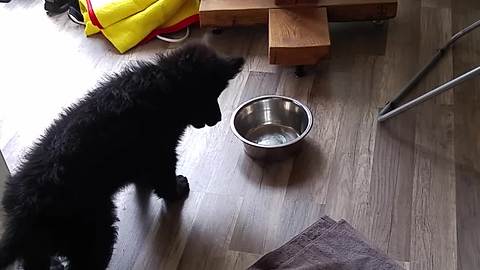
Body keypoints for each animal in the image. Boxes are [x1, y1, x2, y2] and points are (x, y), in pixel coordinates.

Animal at [0, 43, 244, 268]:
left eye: (217, 94)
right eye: (207, 95)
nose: (218, 119)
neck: (164, 87)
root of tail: (22, 212)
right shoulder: (161, 152)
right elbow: (164, 180)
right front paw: (177, 190)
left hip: (45, 246)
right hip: (93, 233)